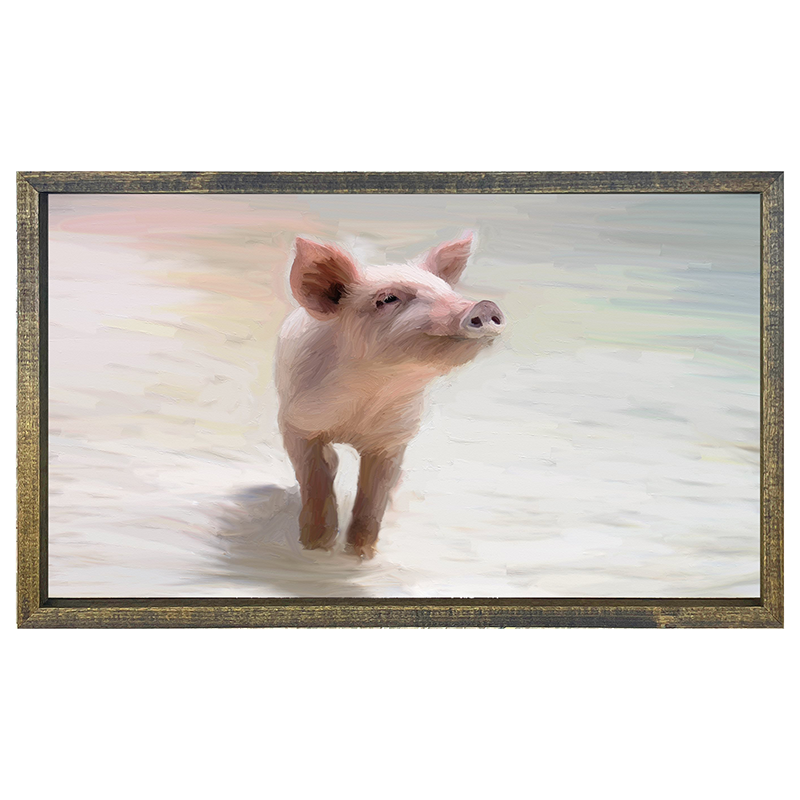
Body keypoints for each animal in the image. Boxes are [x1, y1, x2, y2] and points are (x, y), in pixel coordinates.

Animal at [275, 234, 505, 558]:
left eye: (447, 290)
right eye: (387, 299)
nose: (483, 305)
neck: (372, 393)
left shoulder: (394, 436)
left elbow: (375, 495)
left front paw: (360, 555)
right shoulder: (296, 423)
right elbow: (314, 479)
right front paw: (316, 547)